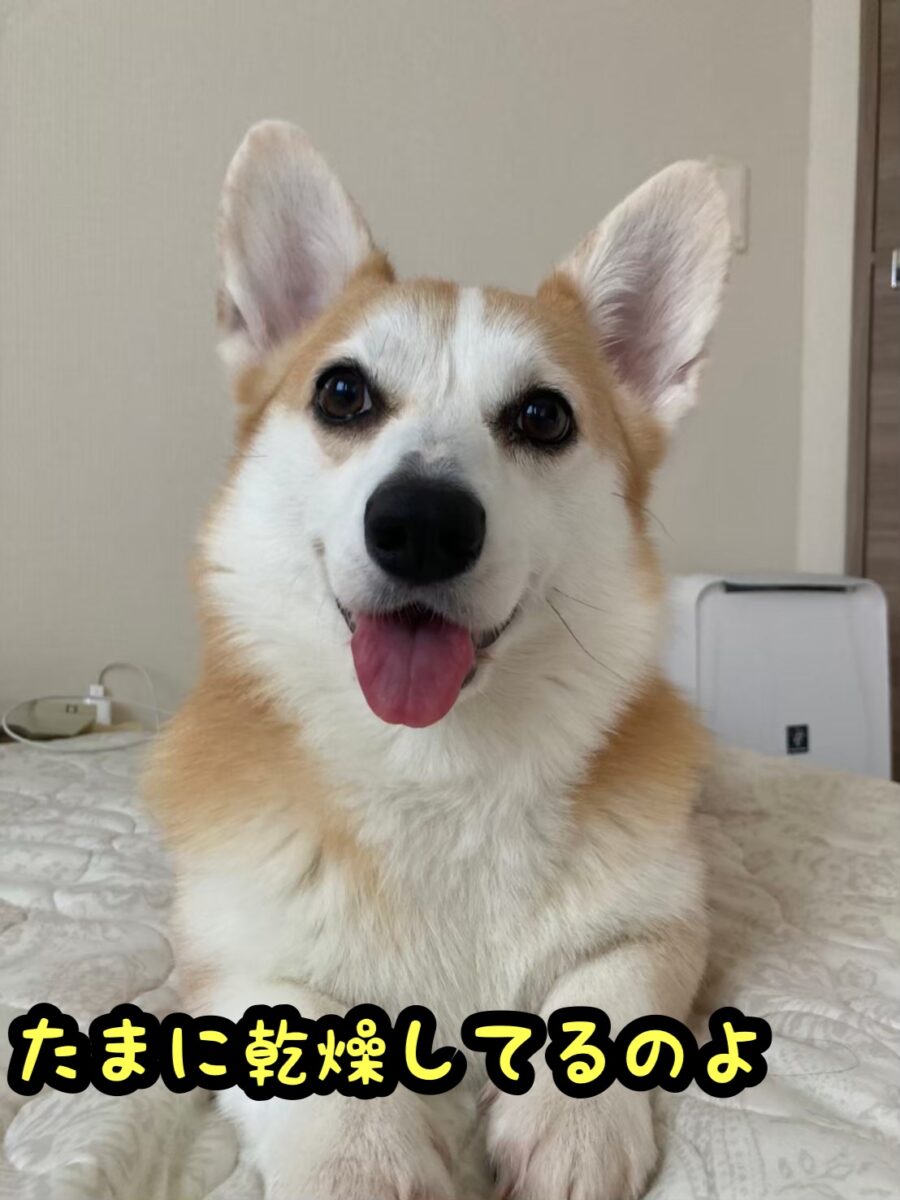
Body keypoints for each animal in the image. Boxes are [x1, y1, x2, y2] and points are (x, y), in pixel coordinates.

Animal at [146, 119, 731, 1199]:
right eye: (342, 392)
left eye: (544, 416)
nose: (421, 525)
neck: (436, 769)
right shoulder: (226, 961)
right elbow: (302, 1031)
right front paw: (361, 1157)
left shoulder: (668, 925)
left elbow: (607, 980)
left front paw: (570, 1123)